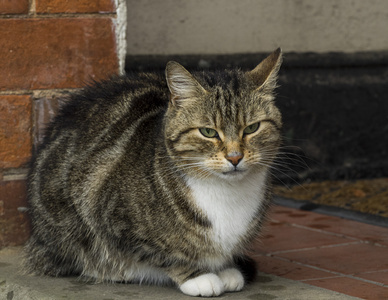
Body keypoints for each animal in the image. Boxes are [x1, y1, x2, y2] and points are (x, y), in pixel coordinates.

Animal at [25, 48, 282, 296]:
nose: (235, 157)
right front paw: (198, 277)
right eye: (208, 132)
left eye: (252, 128)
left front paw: (226, 268)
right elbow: (162, 254)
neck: (226, 192)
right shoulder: (112, 216)